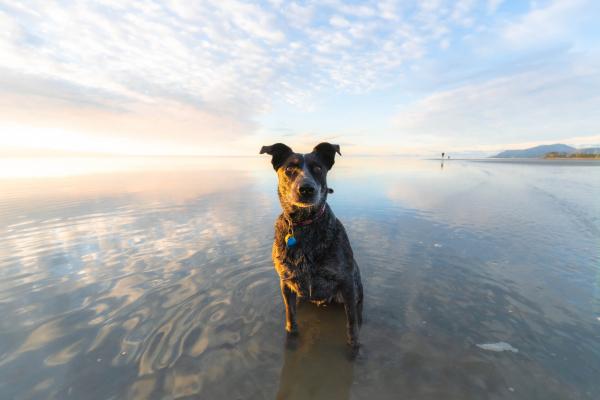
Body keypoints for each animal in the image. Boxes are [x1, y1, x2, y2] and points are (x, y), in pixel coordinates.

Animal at [260, 142, 364, 348]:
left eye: (318, 169)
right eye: (289, 169)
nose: (306, 189)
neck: (303, 224)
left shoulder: (347, 283)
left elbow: (352, 322)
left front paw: (354, 345)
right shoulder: (286, 282)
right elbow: (290, 314)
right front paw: (291, 335)